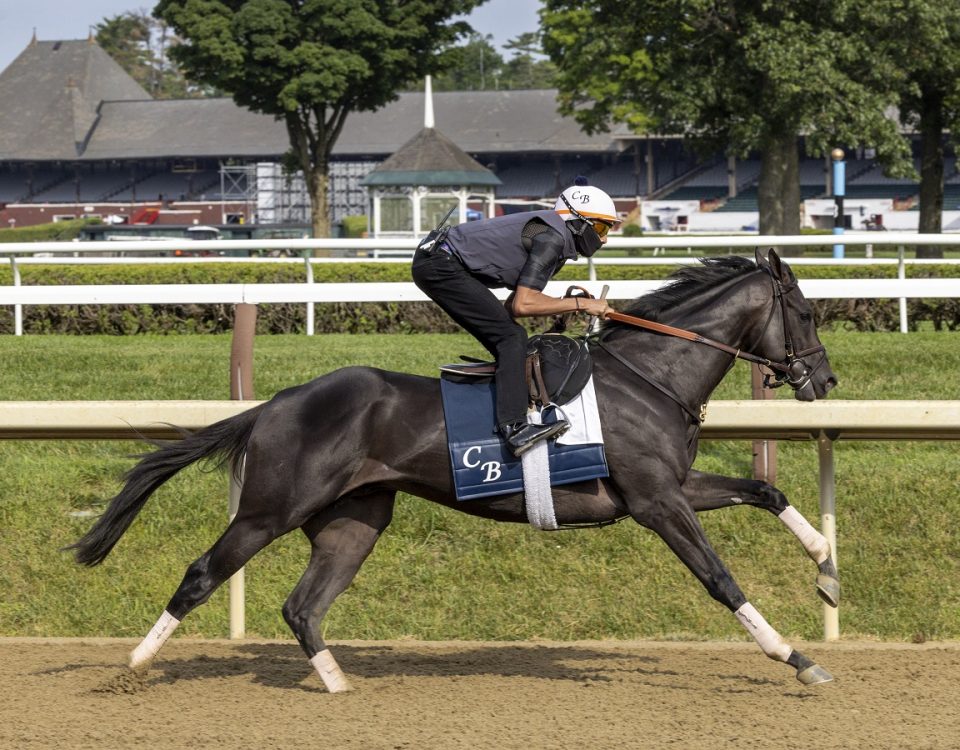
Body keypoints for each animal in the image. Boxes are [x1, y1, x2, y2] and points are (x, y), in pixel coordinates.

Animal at [67, 251, 836, 692]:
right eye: (803, 311)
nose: (824, 380)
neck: (649, 377)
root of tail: (274, 404)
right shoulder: (655, 503)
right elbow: (720, 578)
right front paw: (794, 656)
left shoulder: (673, 487)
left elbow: (767, 489)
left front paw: (827, 568)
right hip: (269, 509)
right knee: (204, 573)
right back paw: (134, 666)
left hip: (355, 520)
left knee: (303, 605)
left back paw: (338, 683)